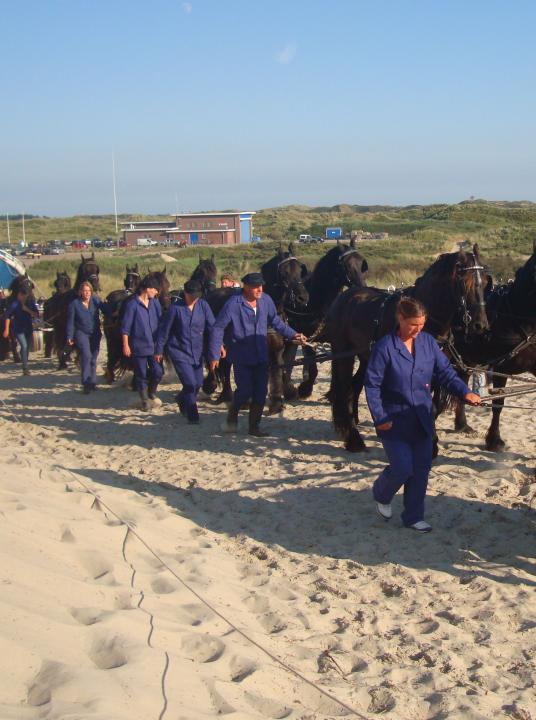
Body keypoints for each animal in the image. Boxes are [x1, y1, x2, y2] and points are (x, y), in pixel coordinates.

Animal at [266, 239, 370, 414]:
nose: (362, 287)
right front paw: (305, 389)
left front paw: (332, 393)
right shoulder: (306, 335)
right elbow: (313, 366)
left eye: (362, 263)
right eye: (347, 265)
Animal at [324, 245, 492, 452]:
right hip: (344, 354)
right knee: (342, 390)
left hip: (365, 356)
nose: (480, 325)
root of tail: (343, 298)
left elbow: (434, 405)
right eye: (465, 283)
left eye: (485, 281)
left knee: (353, 387)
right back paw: (353, 439)